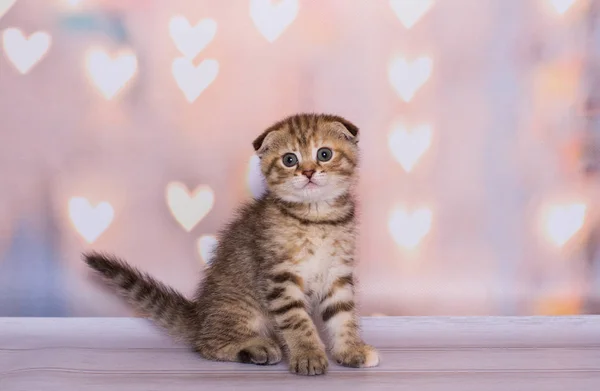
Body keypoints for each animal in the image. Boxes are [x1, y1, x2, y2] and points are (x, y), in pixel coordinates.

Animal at [83, 113, 380, 376]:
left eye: (324, 154)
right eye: (289, 159)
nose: (307, 172)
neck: (316, 217)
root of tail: (199, 315)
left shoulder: (338, 274)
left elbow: (343, 315)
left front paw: (351, 350)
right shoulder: (279, 277)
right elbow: (297, 321)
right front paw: (308, 355)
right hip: (240, 307)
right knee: (208, 344)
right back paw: (255, 348)